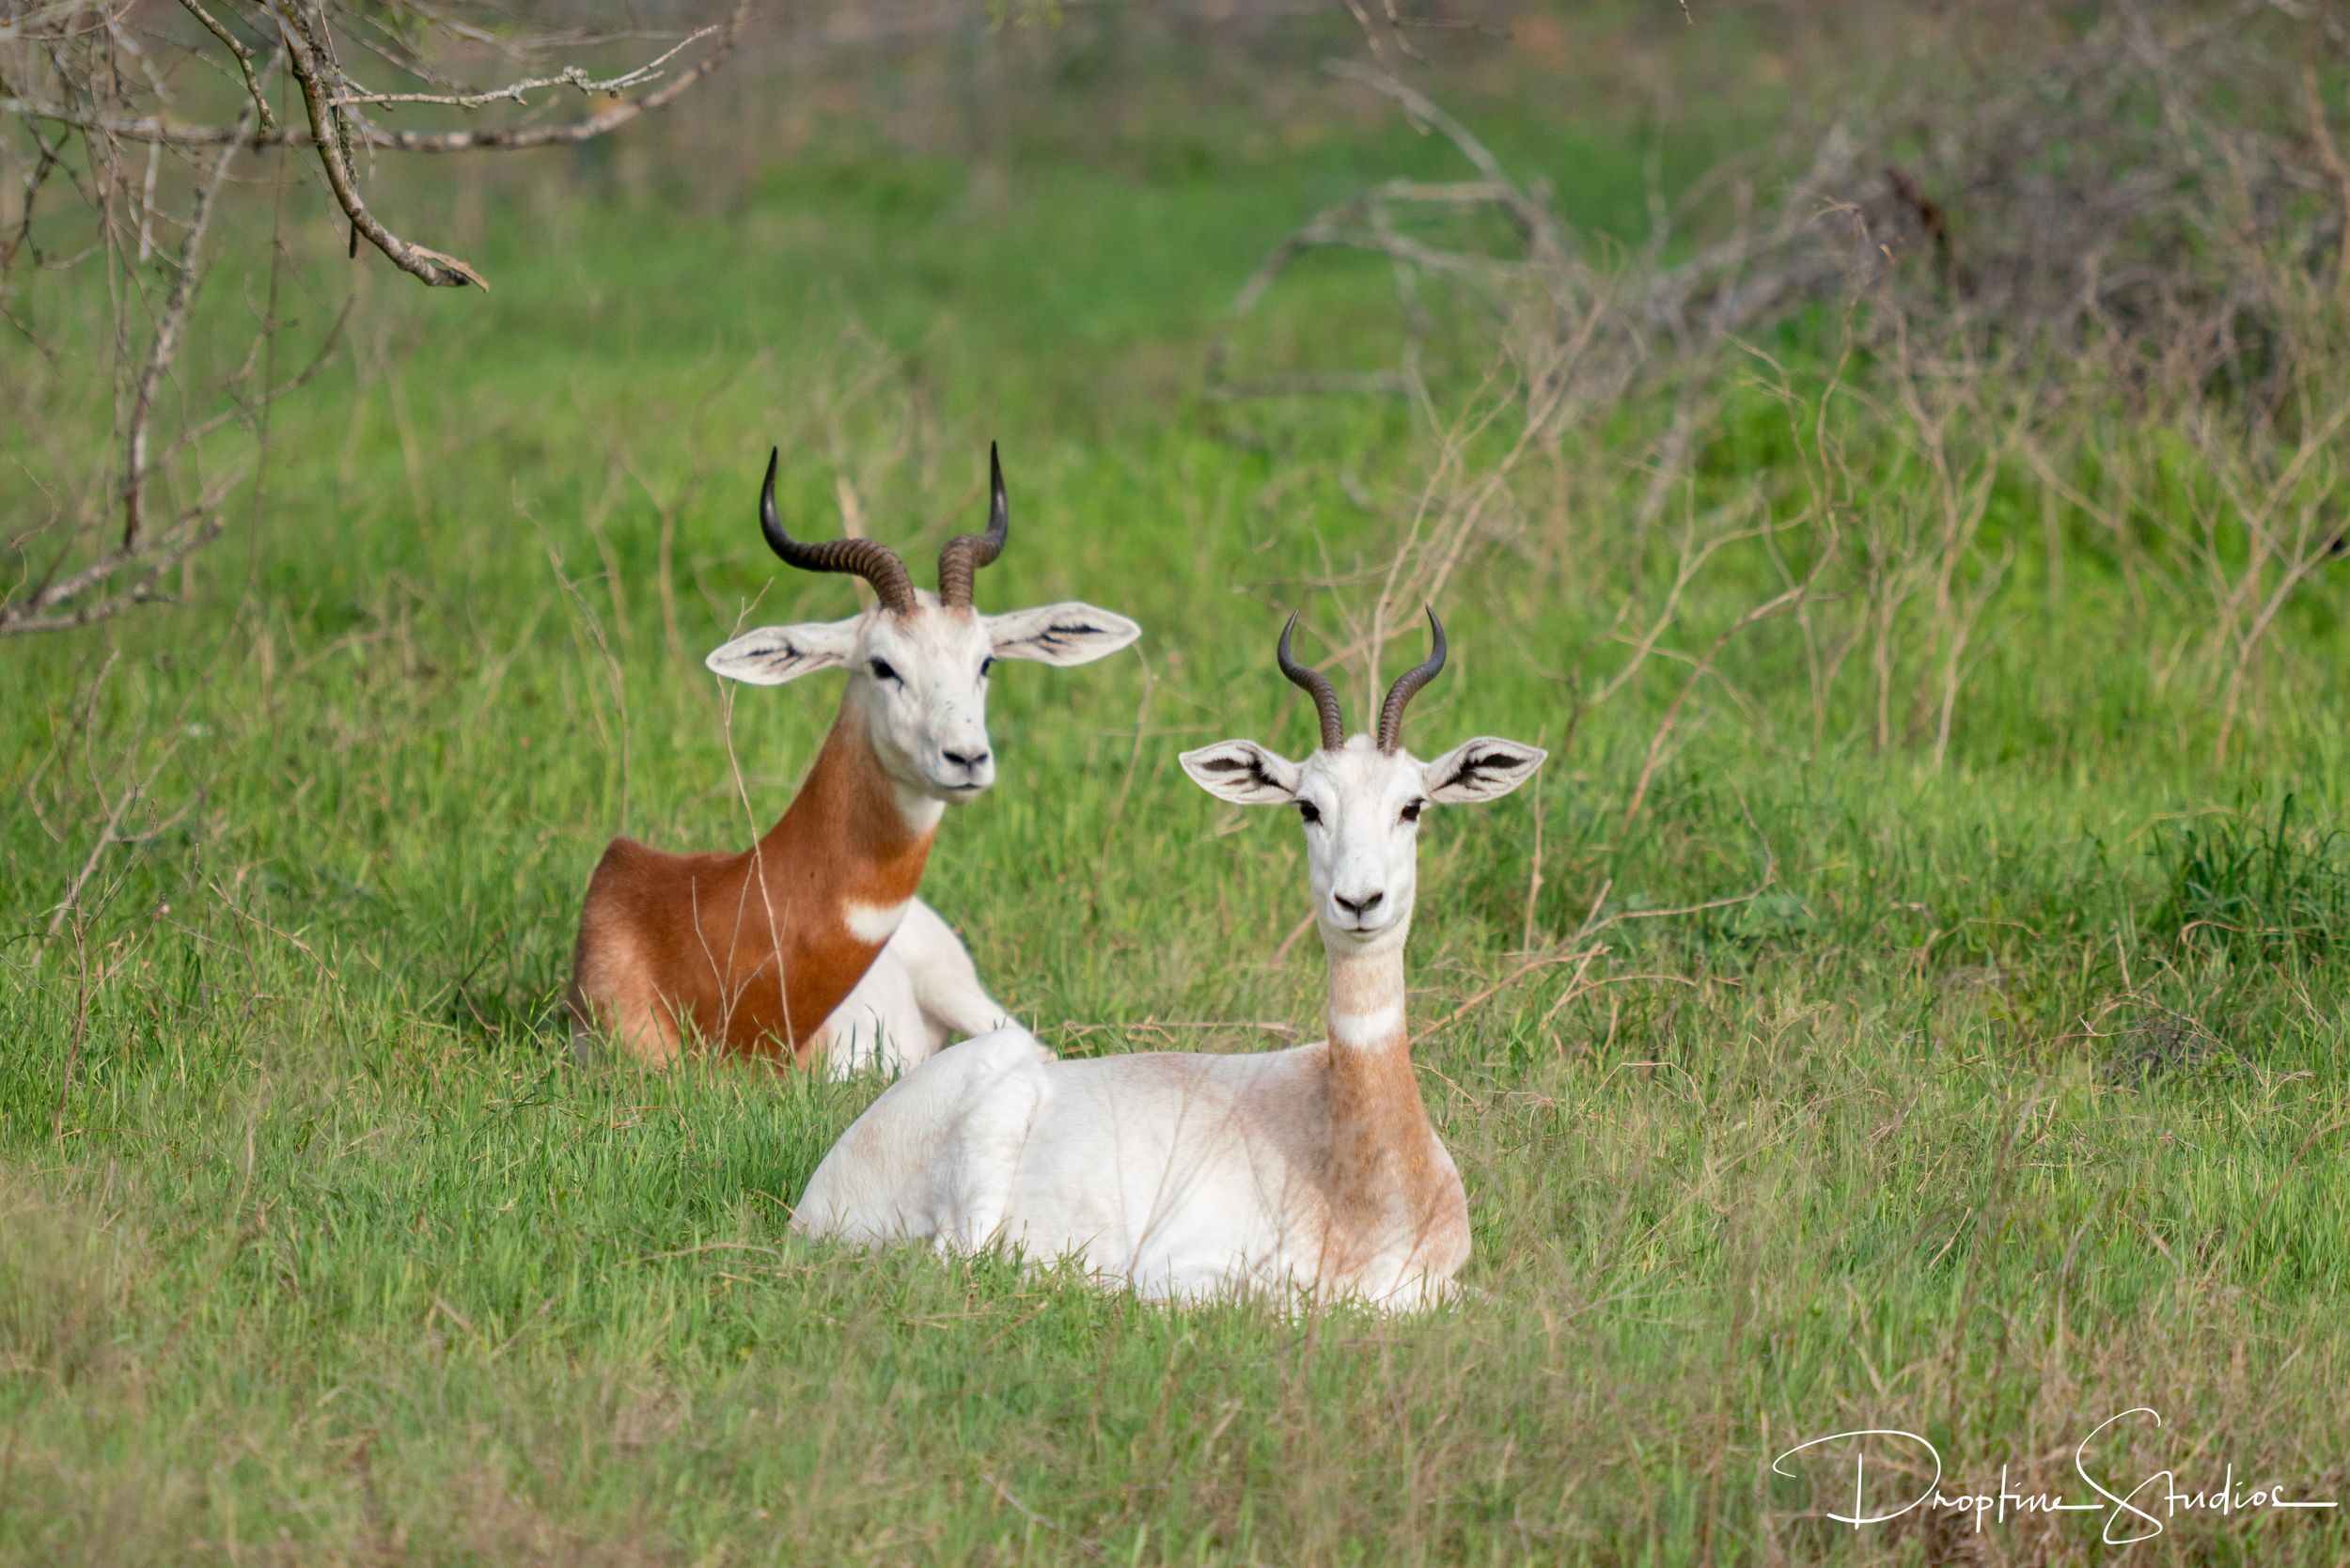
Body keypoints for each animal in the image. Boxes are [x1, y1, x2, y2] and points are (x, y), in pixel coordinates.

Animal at [791, 609, 1546, 1310]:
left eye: (1412, 806)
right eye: (1308, 807)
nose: (1359, 900)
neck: (1361, 1187)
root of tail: (814, 1197)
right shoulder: (1189, 1269)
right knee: (961, 1261)